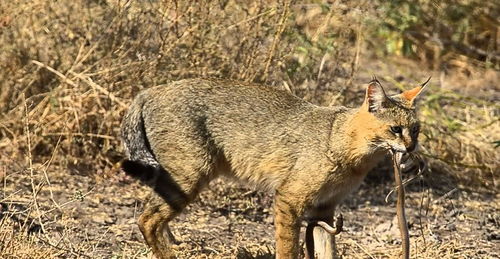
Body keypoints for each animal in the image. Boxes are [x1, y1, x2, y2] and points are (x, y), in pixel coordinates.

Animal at [120, 77, 426, 259]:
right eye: (395, 129)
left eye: (416, 130)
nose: (411, 147)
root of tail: (153, 89)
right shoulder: (289, 199)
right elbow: (287, 246)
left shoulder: (324, 209)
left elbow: (327, 250)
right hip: (189, 177)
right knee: (147, 219)